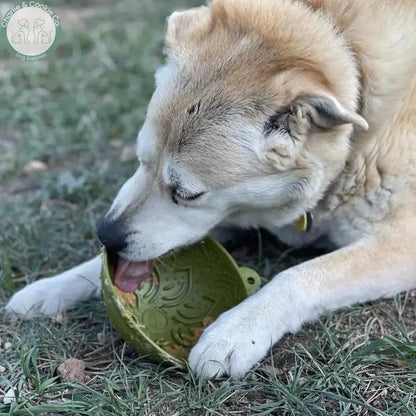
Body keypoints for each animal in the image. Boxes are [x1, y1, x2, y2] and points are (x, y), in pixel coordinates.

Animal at [6, 0, 416, 380]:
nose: (105, 235)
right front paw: (48, 290)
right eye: (141, 160)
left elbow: (299, 276)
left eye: (187, 193)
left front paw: (235, 332)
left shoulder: (399, 246)